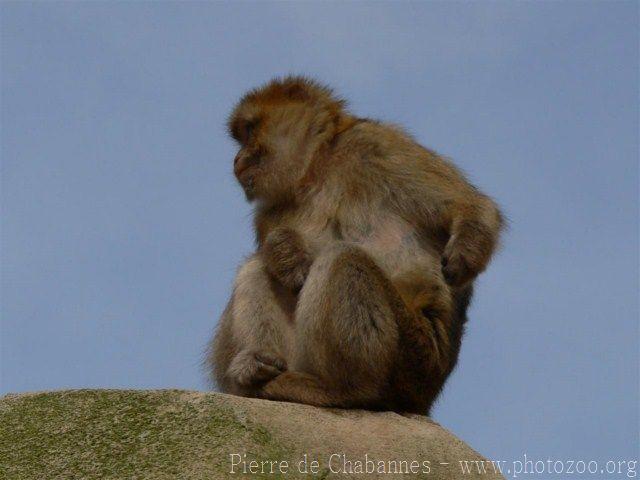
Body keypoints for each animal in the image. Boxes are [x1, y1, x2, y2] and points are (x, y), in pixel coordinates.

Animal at [208, 77, 502, 414]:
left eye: (248, 132)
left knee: (343, 259)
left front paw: (466, 252)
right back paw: (259, 370)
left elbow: (468, 205)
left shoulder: (378, 144)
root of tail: (422, 401)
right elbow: (277, 254)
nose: (237, 159)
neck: (319, 169)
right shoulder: (270, 210)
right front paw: (284, 251)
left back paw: (346, 390)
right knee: (259, 268)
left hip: (413, 357)